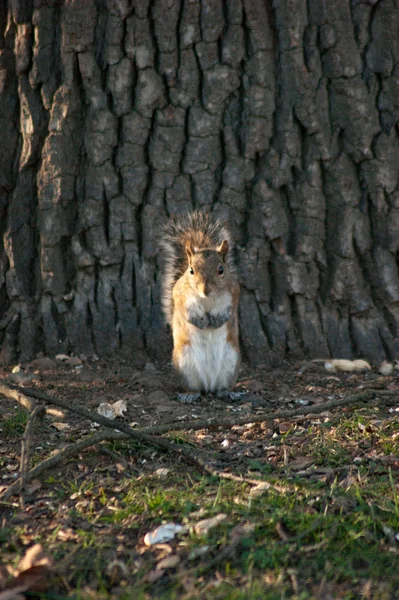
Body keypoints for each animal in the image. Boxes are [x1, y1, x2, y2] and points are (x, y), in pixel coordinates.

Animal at [161, 211, 242, 404]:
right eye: (191, 270)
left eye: (221, 269)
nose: (205, 290)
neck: (208, 299)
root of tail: (209, 385)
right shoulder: (180, 294)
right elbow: (184, 311)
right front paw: (201, 322)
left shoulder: (234, 291)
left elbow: (231, 310)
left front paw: (217, 321)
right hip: (185, 365)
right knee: (195, 388)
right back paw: (191, 395)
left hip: (231, 363)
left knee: (221, 387)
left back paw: (227, 392)